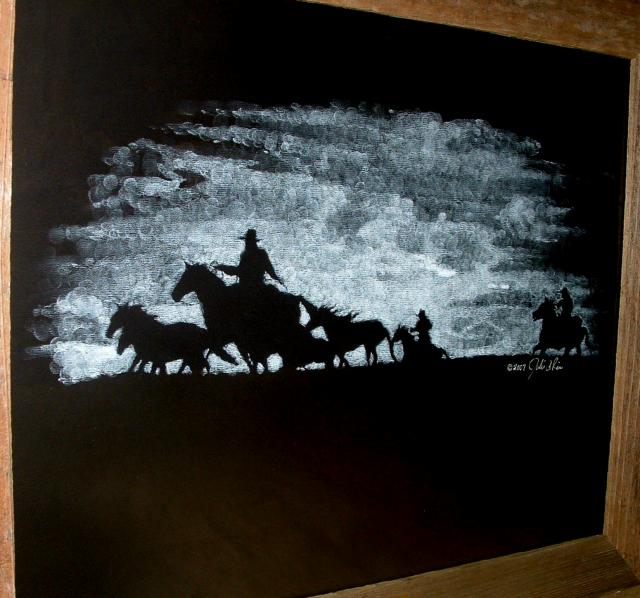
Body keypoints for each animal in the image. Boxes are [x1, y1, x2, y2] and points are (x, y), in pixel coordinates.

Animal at [171, 262, 306, 373]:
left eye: (186, 277)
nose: (174, 295)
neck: (219, 300)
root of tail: (296, 298)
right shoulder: (232, 338)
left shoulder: (230, 337)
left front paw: (231, 360)